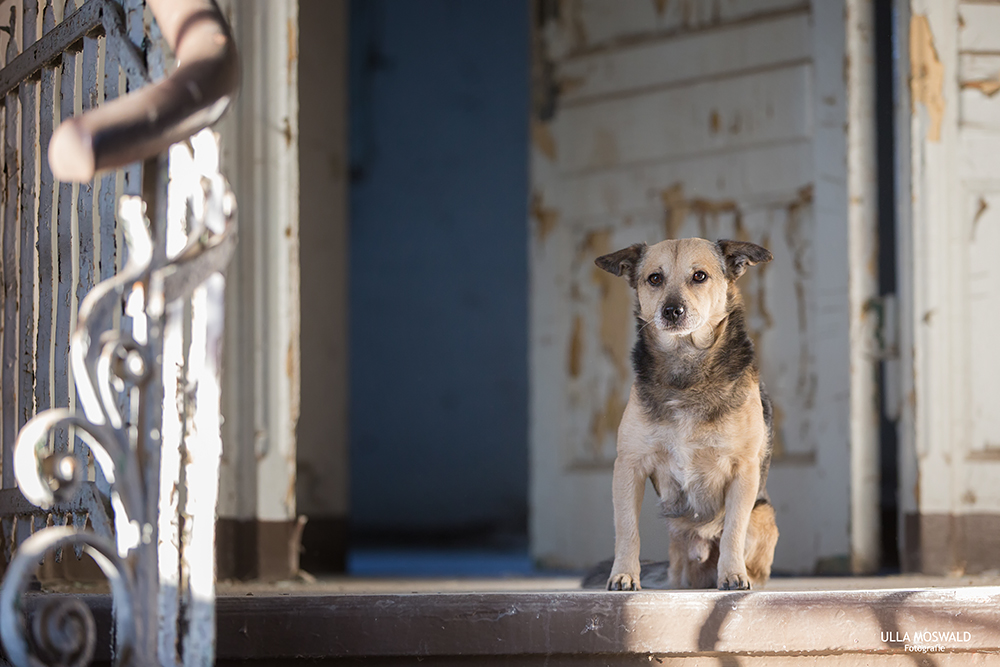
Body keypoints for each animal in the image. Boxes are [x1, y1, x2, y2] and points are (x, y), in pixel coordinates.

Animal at [592, 237, 780, 592]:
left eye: (699, 276)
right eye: (654, 278)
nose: (671, 311)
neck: (685, 367)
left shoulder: (744, 470)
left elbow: (733, 530)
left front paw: (732, 575)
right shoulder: (628, 467)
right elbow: (627, 530)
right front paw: (624, 574)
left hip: (764, 517)